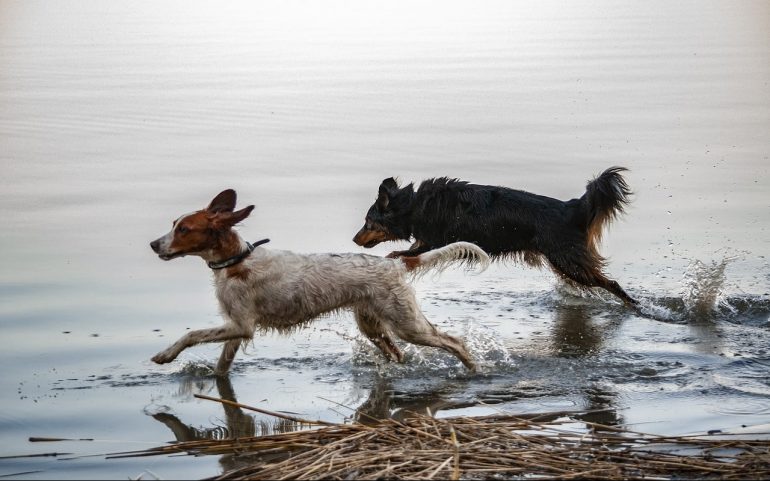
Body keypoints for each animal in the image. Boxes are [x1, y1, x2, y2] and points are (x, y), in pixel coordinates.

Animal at [148, 189, 486, 374]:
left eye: (184, 229)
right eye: (174, 225)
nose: (152, 244)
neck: (237, 262)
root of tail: (396, 263)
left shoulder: (241, 325)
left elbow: (191, 334)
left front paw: (165, 355)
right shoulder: (235, 328)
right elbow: (221, 367)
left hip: (407, 324)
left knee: (454, 341)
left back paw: (474, 371)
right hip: (373, 325)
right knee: (399, 353)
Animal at [354, 167, 636, 304]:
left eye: (367, 223)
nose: (355, 239)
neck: (414, 206)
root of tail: (572, 206)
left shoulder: (434, 243)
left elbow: (399, 253)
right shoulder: (426, 243)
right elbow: (402, 253)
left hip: (568, 261)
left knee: (612, 284)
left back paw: (633, 305)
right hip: (564, 264)